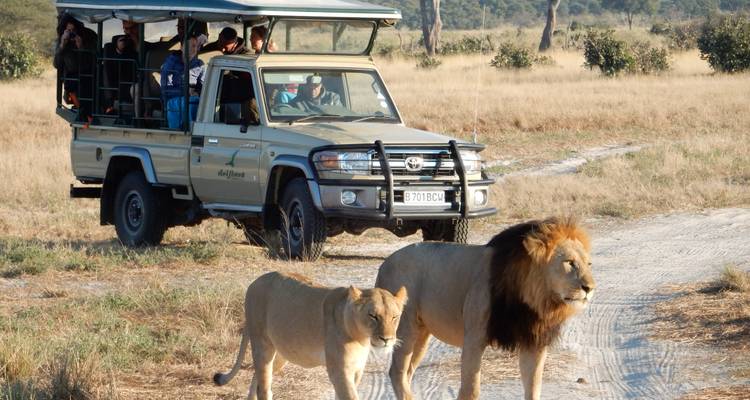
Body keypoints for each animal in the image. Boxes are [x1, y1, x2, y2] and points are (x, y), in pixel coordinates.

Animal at [213, 271, 407, 400]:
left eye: (395, 317)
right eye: (373, 316)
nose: (387, 339)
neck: (362, 338)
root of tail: (255, 281)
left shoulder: (357, 370)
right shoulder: (340, 370)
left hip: (280, 353)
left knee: (257, 379)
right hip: (262, 345)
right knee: (263, 387)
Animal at [375, 217, 594, 400]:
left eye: (588, 264)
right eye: (569, 263)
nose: (590, 288)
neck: (536, 299)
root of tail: (385, 264)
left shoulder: (533, 342)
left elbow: (533, 388)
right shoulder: (474, 337)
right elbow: (471, 389)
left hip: (422, 333)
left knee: (407, 372)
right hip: (404, 327)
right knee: (397, 372)